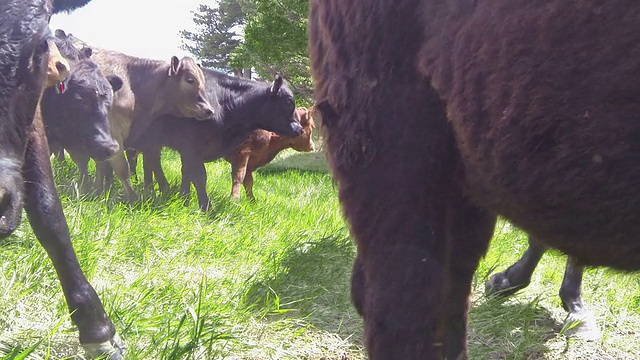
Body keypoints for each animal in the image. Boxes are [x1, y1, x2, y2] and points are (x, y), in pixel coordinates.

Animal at [128, 70, 304, 211]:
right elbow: (199, 177)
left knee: (150, 162)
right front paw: (206, 208)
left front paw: (184, 199)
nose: (299, 129)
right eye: (288, 101)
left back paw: (155, 190)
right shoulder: (191, 147)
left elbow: (187, 174)